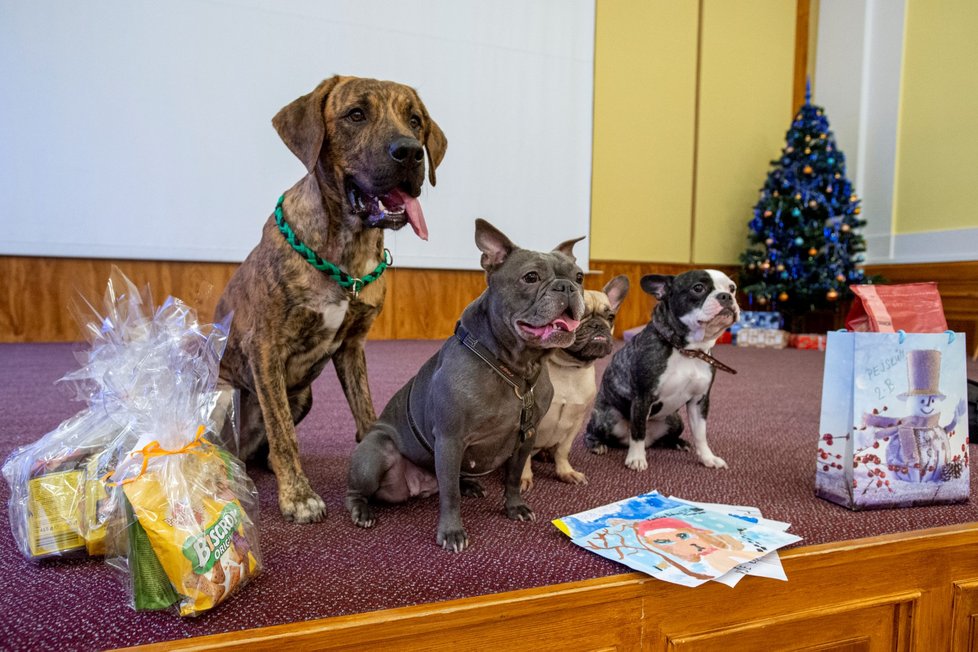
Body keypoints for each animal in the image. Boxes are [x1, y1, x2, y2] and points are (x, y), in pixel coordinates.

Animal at [216, 75, 446, 524]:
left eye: (415, 121)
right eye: (355, 114)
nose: (409, 151)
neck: (347, 251)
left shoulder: (352, 346)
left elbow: (365, 411)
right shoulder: (264, 348)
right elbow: (283, 434)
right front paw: (298, 496)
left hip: (303, 395)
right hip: (224, 395)